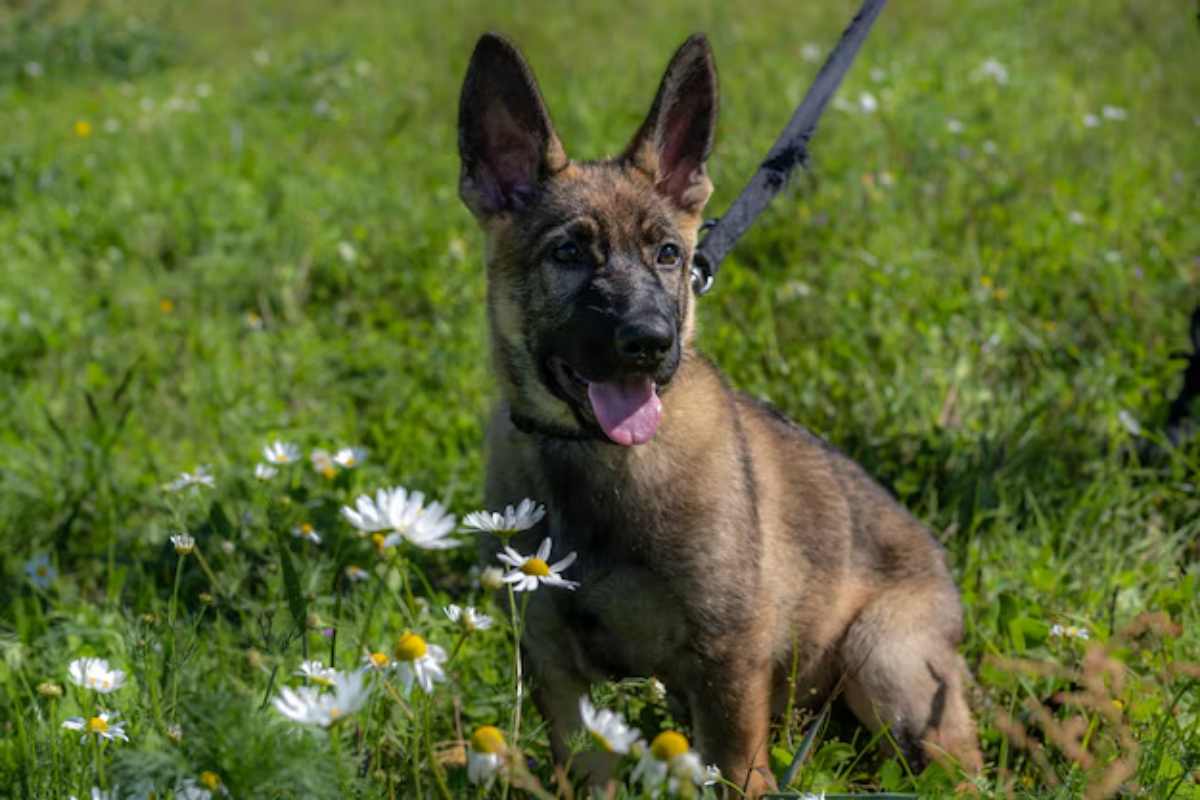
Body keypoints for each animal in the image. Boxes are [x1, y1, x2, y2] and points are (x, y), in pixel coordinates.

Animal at [453, 29, 979, 796]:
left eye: (670, 254)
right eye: (570, 252)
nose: (649, 343)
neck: (597, 463)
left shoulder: (728, 659)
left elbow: (735, 771)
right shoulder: (557, 671)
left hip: (887, 664)